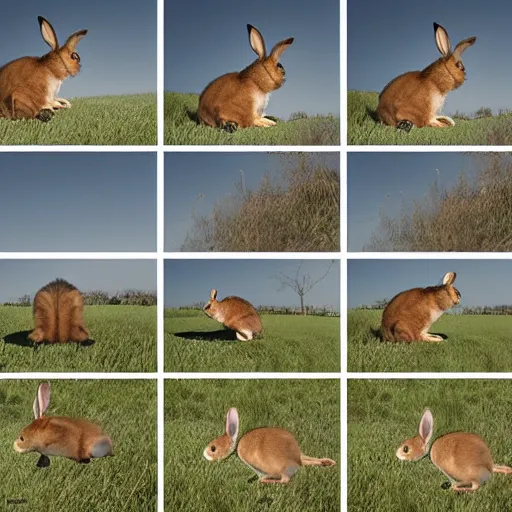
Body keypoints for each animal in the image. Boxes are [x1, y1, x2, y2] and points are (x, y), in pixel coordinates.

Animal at [204, 408, 336, 484]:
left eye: (213, 448)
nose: (204, 455)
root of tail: (296, 460)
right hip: (301, 456)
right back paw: (328, 462)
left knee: (284, 480)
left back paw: (262, 479)